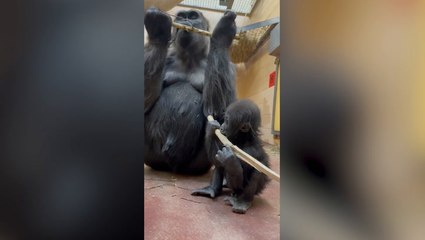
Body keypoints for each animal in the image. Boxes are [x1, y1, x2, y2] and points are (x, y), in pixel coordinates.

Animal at [144, 7, 237, 174]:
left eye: (193, 16)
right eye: (181, 17)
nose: (185, 21)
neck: (189, 58)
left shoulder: (230, 67)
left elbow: (220, 111)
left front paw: (222, 34)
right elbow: (144, 101)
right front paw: (158, 34)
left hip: (197, 167)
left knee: (214, 120)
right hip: (152, 159)